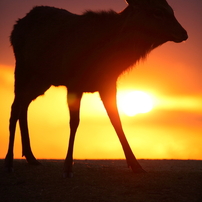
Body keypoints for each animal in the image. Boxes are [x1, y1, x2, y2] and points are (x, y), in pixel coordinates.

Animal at [4, 0, 188, 177]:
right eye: (157, 12)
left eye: (171, 9)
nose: (184, 33)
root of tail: (15, 27)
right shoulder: (74, 83)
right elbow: (74, 122)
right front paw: (67, 168)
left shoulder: (108, 84)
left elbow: (117, 121)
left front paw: (136, 166)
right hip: (22, 69)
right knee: (14, 107)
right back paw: (9, 162)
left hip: (42, 80)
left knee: (23, 105)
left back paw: (31, 157)